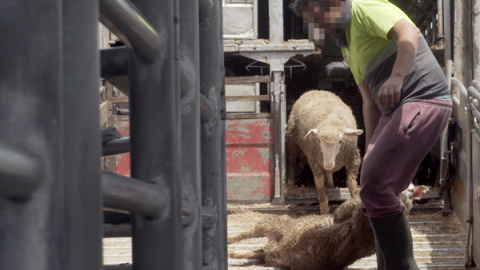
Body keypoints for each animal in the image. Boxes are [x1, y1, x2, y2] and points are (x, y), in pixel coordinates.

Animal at [229, 186, 428, 270]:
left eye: (412, 191)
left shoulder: (353, 216)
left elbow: (344, 209)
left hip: (275, 227)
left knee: (251, 235)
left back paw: (230, 245)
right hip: (272, 240)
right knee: (254, 249)